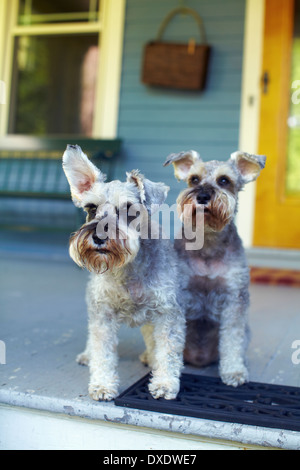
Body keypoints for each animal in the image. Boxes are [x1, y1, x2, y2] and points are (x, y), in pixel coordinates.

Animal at [62, 145, 185, 402]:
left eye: (129, 209)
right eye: (91, 208)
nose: (99, 236)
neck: (127, 269)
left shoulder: (167, 313)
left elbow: (167, 350)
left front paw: (165, 383)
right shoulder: (103, 314)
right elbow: (102, 351)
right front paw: (102, 385)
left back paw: (150, 357)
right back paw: (87, 355)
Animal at [165, 150, 266, 386]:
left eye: (224, 180)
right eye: (194, 179)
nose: (202, 196)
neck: (208, 241)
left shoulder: (234, 298)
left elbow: (232, 338)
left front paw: (234, 371)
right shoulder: (179, 295)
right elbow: (171, 340)